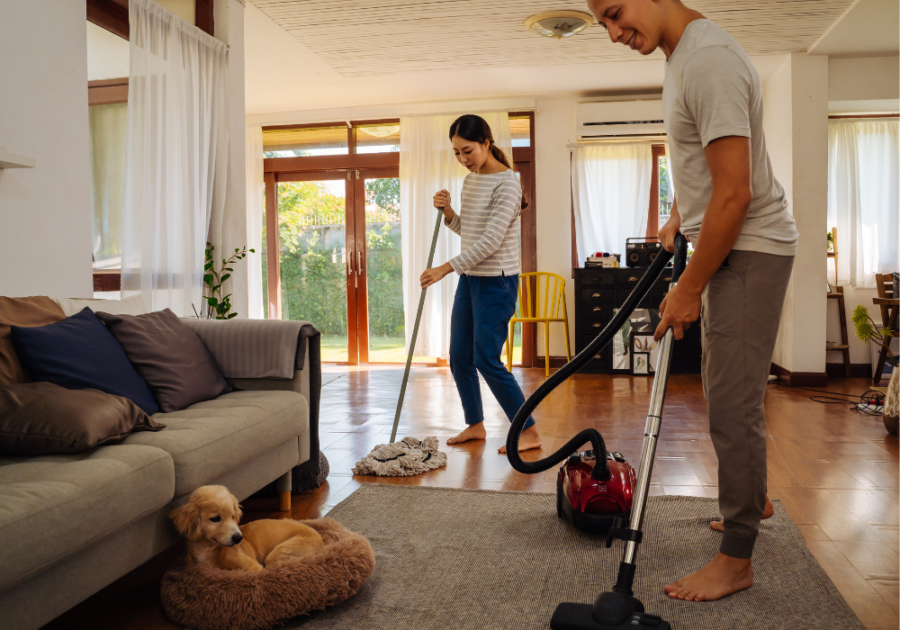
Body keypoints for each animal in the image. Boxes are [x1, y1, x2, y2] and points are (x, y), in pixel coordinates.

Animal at [167, 486, 326, 576]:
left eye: (233, 517)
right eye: (215, 519)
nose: (239, 538)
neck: (209, 551)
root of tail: (321, 540)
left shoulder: (253, 567)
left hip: (280, 553)